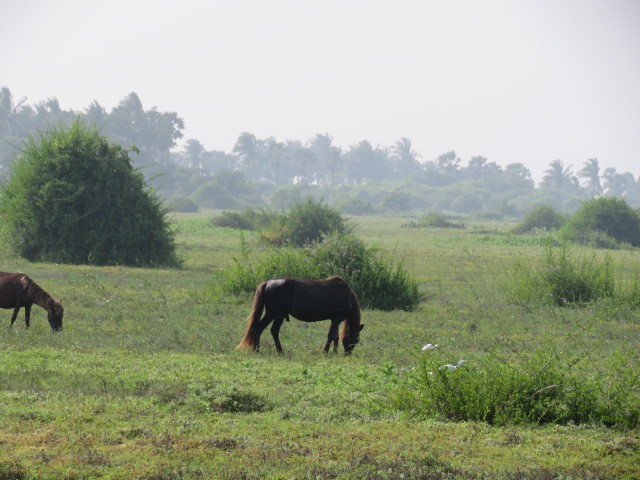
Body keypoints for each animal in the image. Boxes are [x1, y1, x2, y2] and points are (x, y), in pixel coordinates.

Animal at [236, 276, 364, 354]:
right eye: (356, 339)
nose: (348, 354)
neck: (348, 296)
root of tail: (268, 283)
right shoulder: (337, 319)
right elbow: (331, 335)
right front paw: (326, 351)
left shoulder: (335, 320)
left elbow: (335, 336)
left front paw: (334, 352)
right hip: (278, 315)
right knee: (274, 330)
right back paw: (279, 350)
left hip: (271, 314)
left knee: (259, 328)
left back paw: (256, 350)